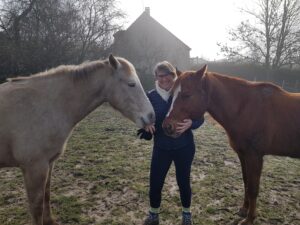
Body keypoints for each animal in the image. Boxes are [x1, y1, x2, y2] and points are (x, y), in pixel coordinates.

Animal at [0, 55, 155, 225]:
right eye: (131, 84)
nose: (151, 116)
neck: (47, 106)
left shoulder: (48, 164)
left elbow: (47, 194)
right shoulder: (34, 168)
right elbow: (37, 207)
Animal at [164, 65, 300, 225]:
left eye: (186, 94)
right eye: (171, 95)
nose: (167, 127)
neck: (246, 108)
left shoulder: (255, 156)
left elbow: (253, 188)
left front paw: (250, 219)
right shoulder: (243, 154)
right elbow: (246, 182)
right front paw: (244, 210)